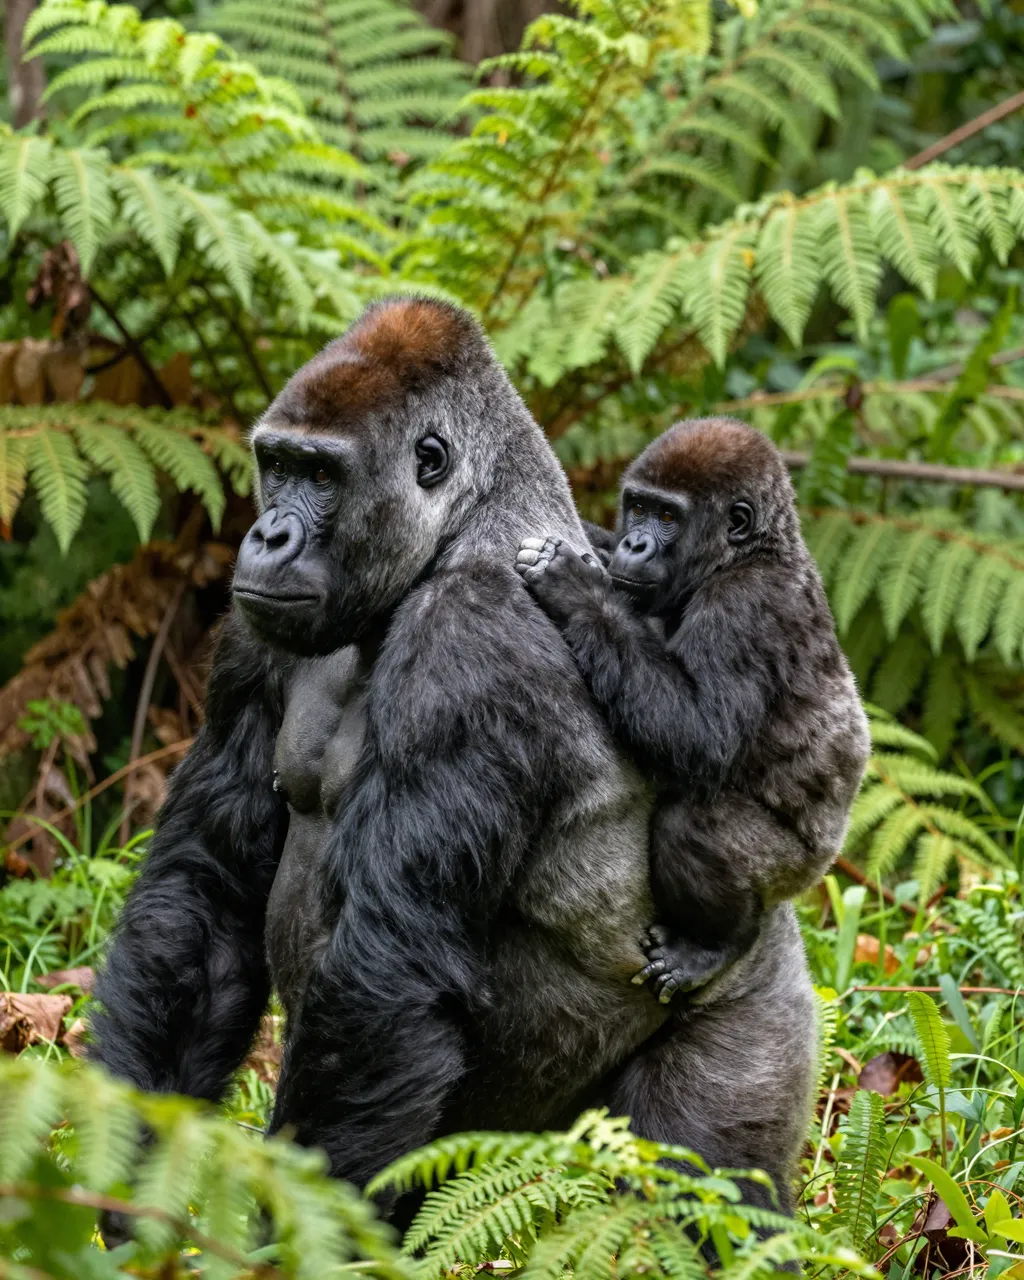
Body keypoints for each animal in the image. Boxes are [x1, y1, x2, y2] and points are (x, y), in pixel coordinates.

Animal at [92, 304, 822, 1224]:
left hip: (757, 1007)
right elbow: (206, 886)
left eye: (322, 474)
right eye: (277, 464)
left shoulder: (470, 642)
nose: (268, 534)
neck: (463, 527)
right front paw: (119, 1186)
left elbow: (387, 969)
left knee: (709, 1193)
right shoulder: (254, 629)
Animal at [516, 417, 870, 1003]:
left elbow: (700, 734)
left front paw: (575, 588)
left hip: (796, 868)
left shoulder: (747, 604)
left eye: (667, 518)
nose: (635, 543)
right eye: (637, 507)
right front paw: (597, 546)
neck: (752, 552)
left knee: (694, 826)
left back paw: (717, 945)